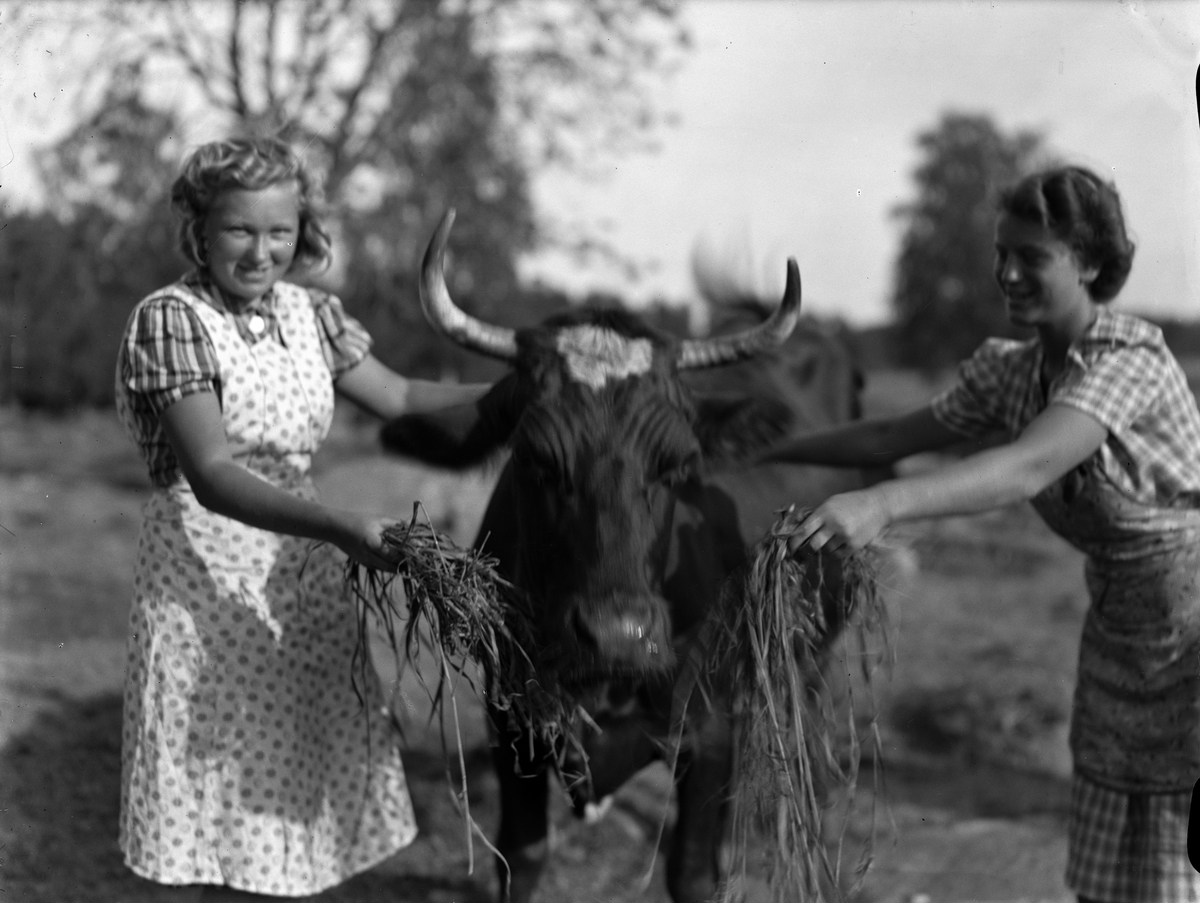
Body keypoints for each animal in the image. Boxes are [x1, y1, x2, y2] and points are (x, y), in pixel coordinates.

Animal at [381, 211, 873, 903]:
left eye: (680, 465)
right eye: (535, 459)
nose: (618, 636)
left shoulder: (708, 730)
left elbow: (692, 872)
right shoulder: (511, 724)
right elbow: (522, 855)